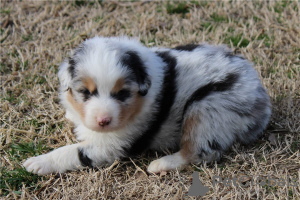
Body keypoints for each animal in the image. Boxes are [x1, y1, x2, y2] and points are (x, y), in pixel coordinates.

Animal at [24, 36, 272, 175]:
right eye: (85, 92)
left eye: (122, 94)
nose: (103, 121)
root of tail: (260, 97)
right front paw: (70, 115)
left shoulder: (112, 146)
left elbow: (74, 151)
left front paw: (38, 163)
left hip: (207, 109)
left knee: (198, 152)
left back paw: (161, 164)